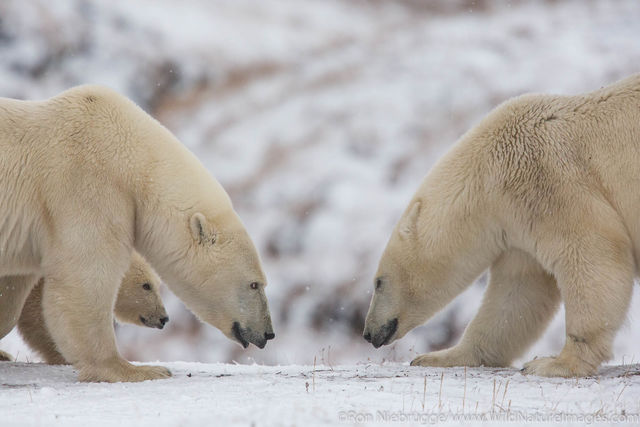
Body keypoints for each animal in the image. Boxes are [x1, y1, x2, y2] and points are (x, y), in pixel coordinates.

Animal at [362, 72, 640, 378]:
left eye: (378, 282)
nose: (368, 333)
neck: (488, 173)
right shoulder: (518, 227)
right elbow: (516, 296)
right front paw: (438, 356)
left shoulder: (550, 185)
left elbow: (594, 255)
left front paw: (554, 363)